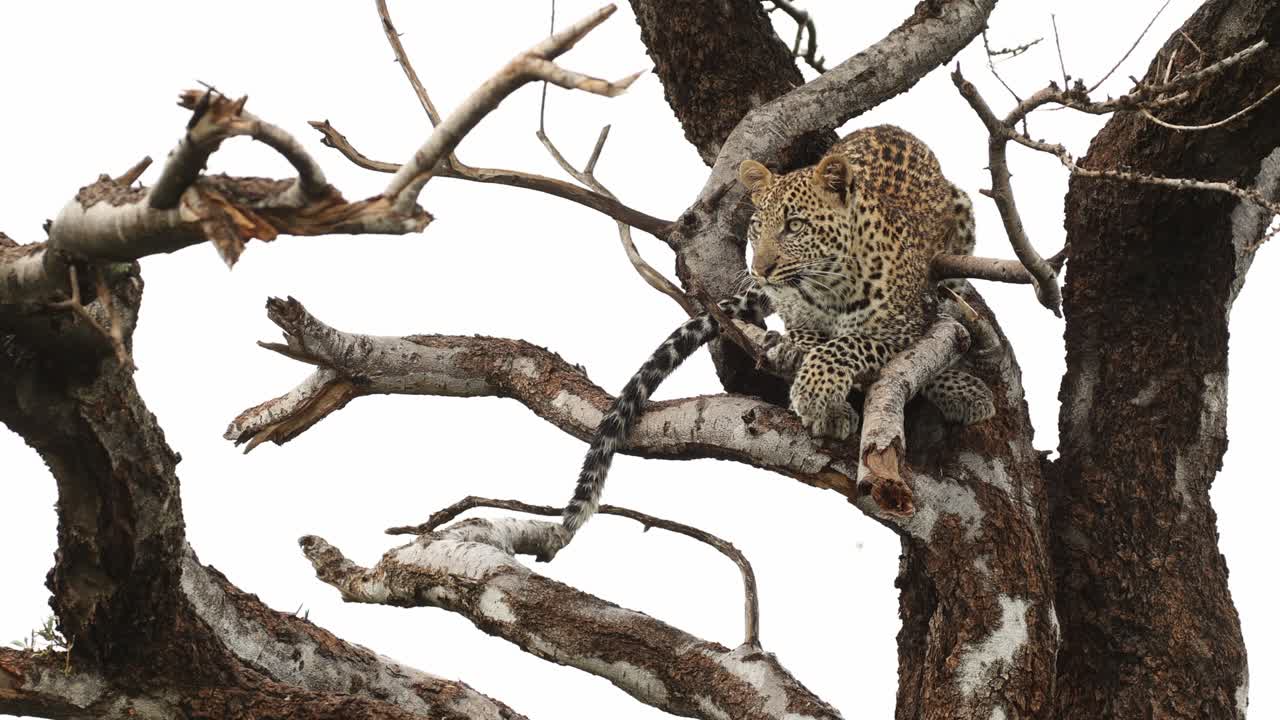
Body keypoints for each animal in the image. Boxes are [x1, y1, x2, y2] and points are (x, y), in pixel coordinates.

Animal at [560, 125, 995, 535]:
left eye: (795, 225)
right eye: (756, 227)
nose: (760, 269)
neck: (829, 287)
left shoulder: (903, 325)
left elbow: (848, 343)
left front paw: (816, 391)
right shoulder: (797, 311)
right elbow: (811, 337)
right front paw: (823, 399)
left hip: (961, 224)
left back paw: (966, 390)